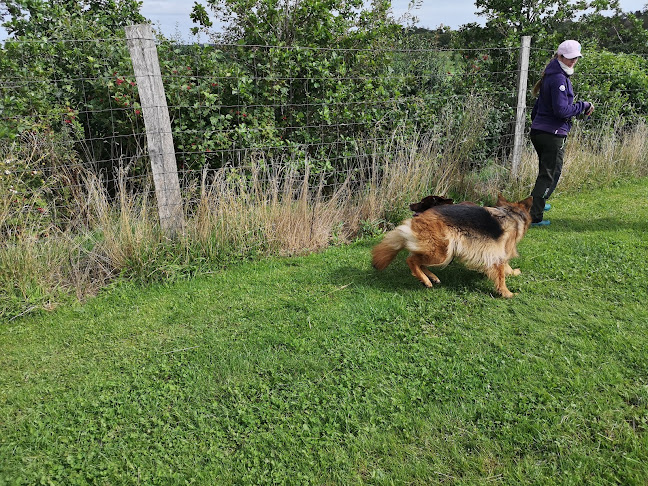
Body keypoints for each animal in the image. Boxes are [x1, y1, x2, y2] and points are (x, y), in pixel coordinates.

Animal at [374, 196, 532, 298]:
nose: (410, 205)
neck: (511, 214)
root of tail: (418, 219)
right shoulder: (499, 254)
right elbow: (501, 275)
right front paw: (507, 293)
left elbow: (506, 268)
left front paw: (513, 273)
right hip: (442, 253)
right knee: (411, 260)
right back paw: (426, 280)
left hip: (439, 252)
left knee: (418, 260)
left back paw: (431, 277)